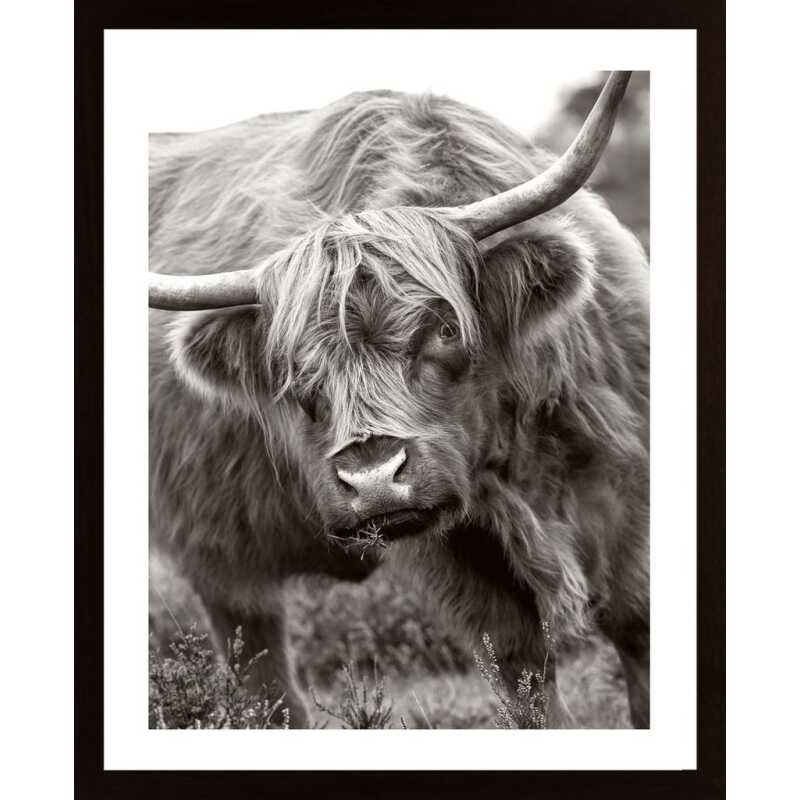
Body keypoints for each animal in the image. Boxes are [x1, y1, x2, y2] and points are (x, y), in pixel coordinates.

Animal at [149, 72, 650, 729]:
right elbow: (524, 675)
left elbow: (636, 626)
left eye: (445, 329)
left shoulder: (626, 492)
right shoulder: (462, 559)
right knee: (263, 676)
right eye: (293, 368)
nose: (373, 480)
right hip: (218, 554)